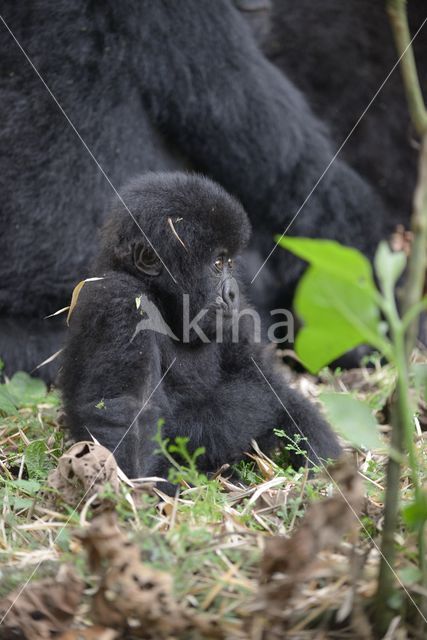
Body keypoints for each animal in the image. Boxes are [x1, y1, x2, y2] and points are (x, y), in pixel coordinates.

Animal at [61, 172, 342, 488]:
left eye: (230, 262)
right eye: (217, 263)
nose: (232, 292)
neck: (166, 306)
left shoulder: (236, 317)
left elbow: (267, 381)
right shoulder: (120, 297)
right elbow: (126, 407)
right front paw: (134, 489)